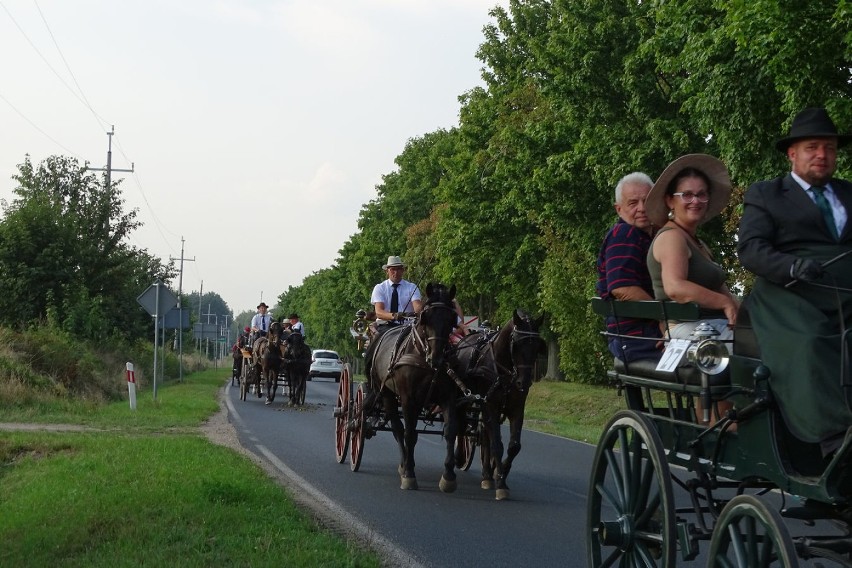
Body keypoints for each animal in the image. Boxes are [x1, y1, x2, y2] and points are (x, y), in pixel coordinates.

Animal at [366, 284, 460, 492]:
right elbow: (408, 434)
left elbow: (450, 432)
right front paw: (409, 474)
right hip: (387, 395)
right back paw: (404, 465)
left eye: (452, 318)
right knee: (398, 429)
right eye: (426, 317)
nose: (437, 358)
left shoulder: (448, 397)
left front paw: (448, 476)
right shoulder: (408, 399)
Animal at [452, 308, 544, 500]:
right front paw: (501, 483)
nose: (524, 382)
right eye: (516, 344)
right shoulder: (490, 406)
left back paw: (487, 474)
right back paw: (462, 458)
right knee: (462, 426)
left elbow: (513, 446)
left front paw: (500, 474)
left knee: (484, 436)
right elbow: (497, 444)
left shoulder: (517, 409)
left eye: (537, 346)